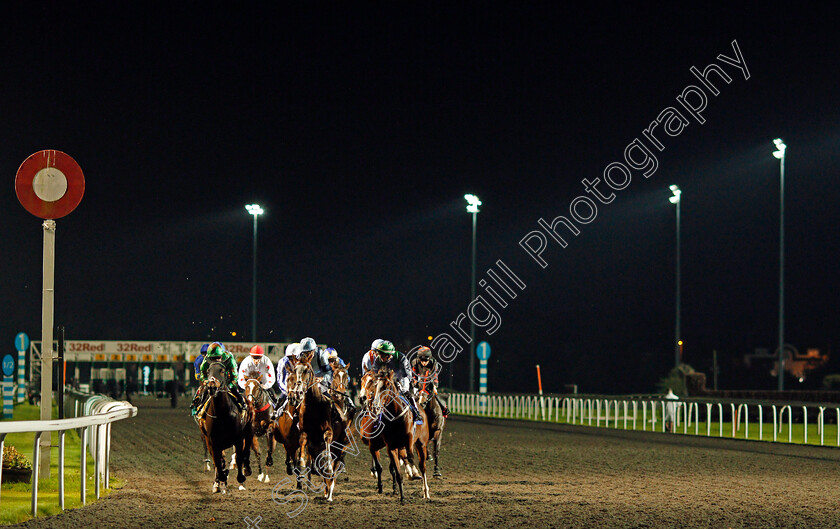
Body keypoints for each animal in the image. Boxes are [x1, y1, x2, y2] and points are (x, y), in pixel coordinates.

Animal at [197, 360, 253, 492]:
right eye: (208, 371)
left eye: (222, 370)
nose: (211, 387)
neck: (222, 414)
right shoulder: (213, 441)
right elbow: (217, 461)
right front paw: (221, 478)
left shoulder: (238, 439)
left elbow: (239, 457)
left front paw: (241, 478)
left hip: (249, 430)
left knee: (246, 450)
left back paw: (247, 469)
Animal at [370, 366, 430, 502]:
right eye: (375, 385)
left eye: (386, 385)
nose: (376, 406)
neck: (395, 416)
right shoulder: (391, 446)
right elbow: (398, 473)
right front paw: (402, 497)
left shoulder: (409, 439)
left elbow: (411, 456)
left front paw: (415, 473)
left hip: (421, 444)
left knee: (423, 466)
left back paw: (426, 491)